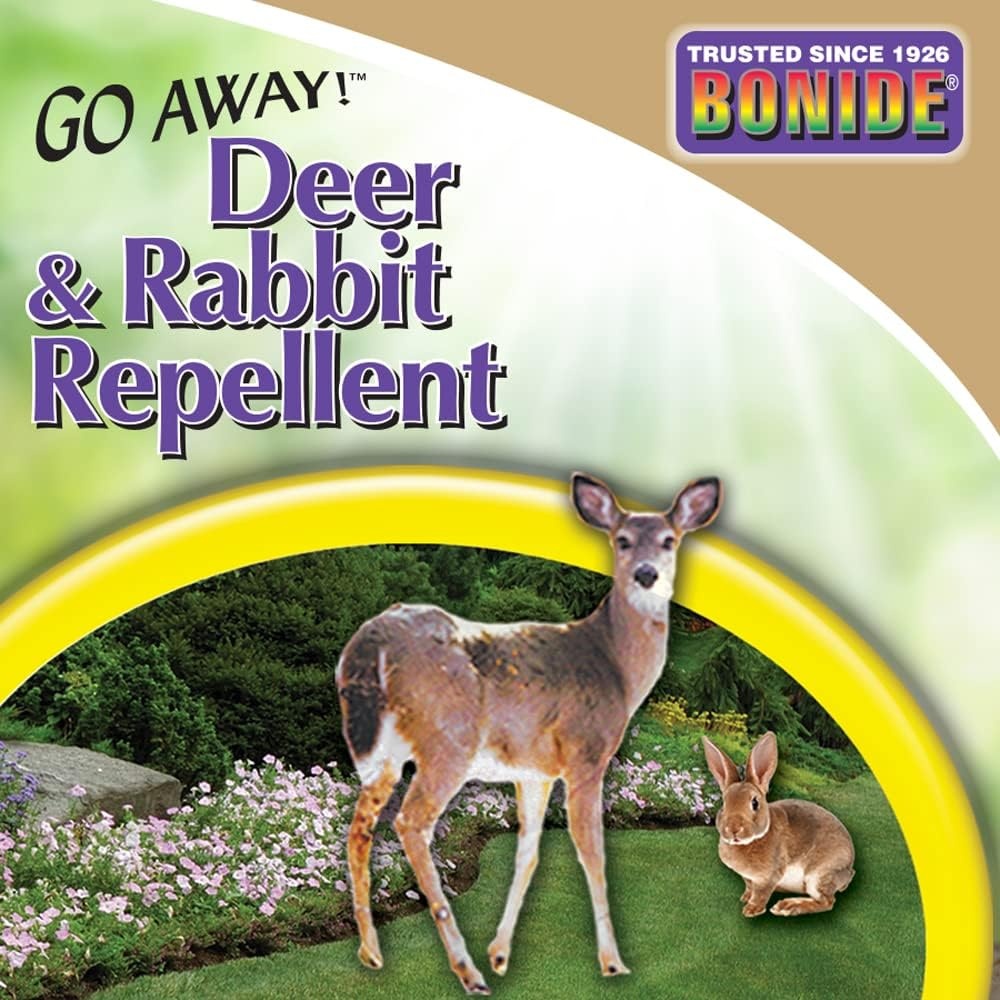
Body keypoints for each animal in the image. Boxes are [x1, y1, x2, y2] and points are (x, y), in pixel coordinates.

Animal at [336, 472, 722, 994]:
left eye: (669, 540)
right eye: (621, 540)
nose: (647, 575)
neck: (618, 671)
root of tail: (369, 641)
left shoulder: (534, 771)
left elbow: (529, 854)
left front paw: (501, 954)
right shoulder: (586, 754)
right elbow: (592, 851)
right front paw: (612, 962)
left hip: (386, 752)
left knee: (360, 827)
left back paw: (372, 952)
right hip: (449, 738)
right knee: (411, 822)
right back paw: (466, 970)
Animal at [701, 731, 855, 917]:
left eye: (755, 803)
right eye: (723, 804)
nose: (733, 829)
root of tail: (849, 870)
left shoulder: (768, 877)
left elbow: (761, 893)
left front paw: (751, 910)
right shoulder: (748, 878)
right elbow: (749, 887)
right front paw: (745, 898)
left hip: (818, 875)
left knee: (826, 902)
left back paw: (786, 907)